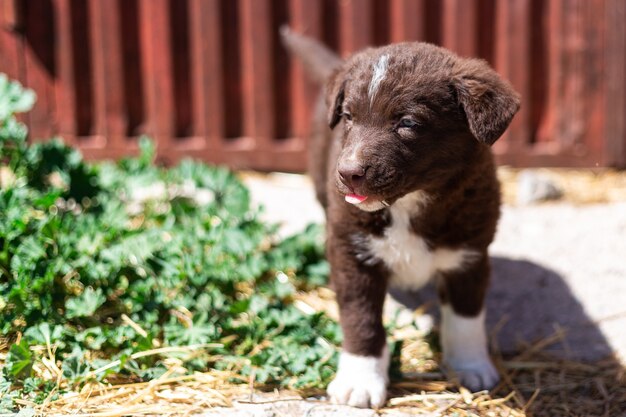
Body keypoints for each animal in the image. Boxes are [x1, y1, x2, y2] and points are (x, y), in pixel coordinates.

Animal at [280, 28, 520, 406]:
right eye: (349, 116)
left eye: (408, 123)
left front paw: (470, 365)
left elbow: (466, 317)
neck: (408, 205)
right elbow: (361, 319)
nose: (348, 173)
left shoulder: (470, 253)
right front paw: (361, 380)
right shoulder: (350, 252)